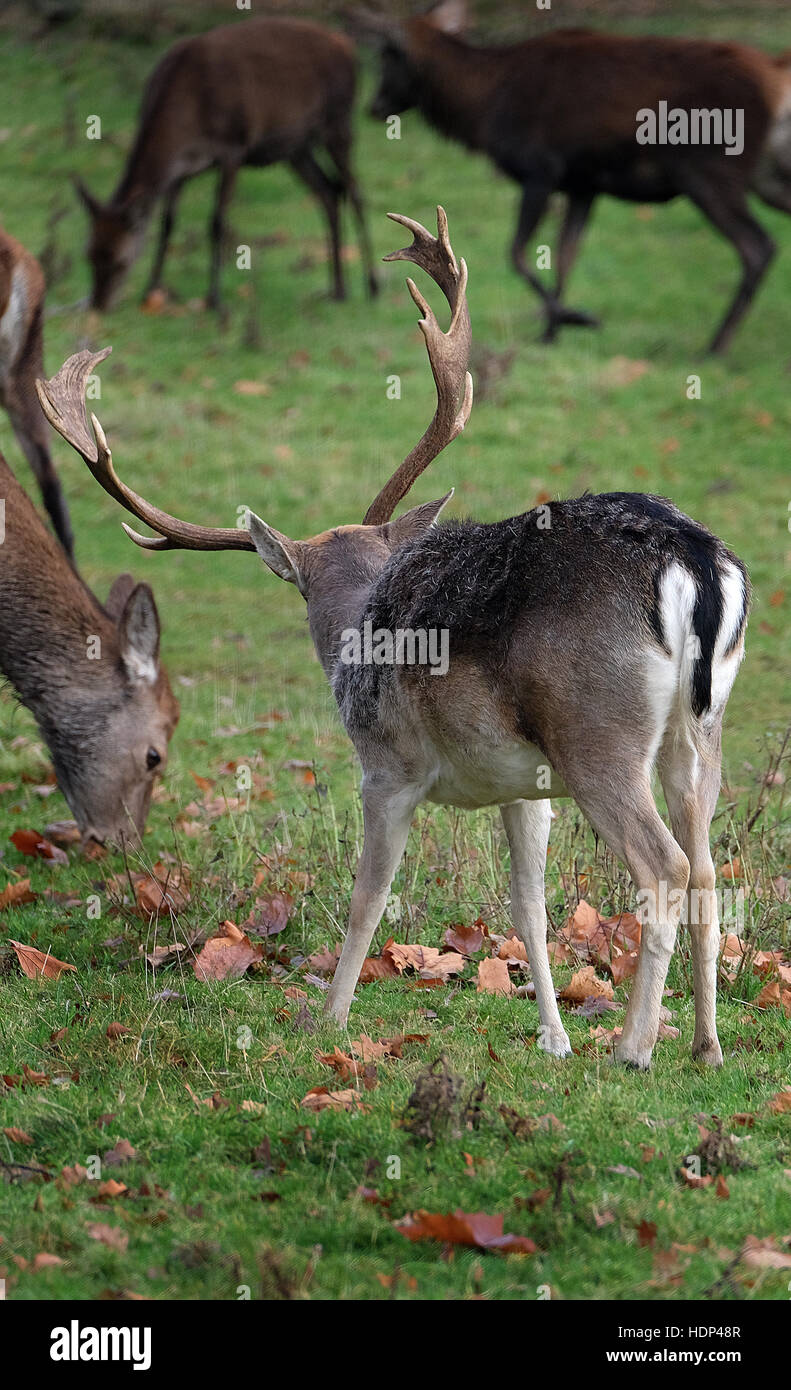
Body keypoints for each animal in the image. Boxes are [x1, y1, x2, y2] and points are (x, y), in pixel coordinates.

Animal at [47, 208, 745, 1073]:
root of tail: (692, 559)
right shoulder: (522, 787)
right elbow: (529, 902)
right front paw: (550, 1036)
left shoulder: (388, 765)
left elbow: (367, 896)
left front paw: (329, 1019)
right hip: (698, 730)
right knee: (709, 868)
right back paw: (705, 1048)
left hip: (598, 734)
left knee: (666, 866)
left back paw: (634, 1047)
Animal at [76, 16, 375, 311]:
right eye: (88, 255)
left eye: (119, 262)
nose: (98, 305)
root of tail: (349, 47)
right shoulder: (180, 171)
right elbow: (166, 224)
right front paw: (151, 290)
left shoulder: (233, 147)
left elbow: (217, 222)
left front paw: (215, 299)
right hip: (296, 147)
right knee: (329, 192)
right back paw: (337, 289)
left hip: (339, 118)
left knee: (355, 191)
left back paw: (372, 284)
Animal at [353, 2, 789, 350]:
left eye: (389, 55)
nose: (373, 107)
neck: (485, 106)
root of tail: (775, 79)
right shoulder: (583, 184)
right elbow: (565, 256)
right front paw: (552, 331)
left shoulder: (540, 168)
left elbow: (517, 252)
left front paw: (578, 317)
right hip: (764, 176)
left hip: (708, 169)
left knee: (758, 246)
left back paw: (716, 345)